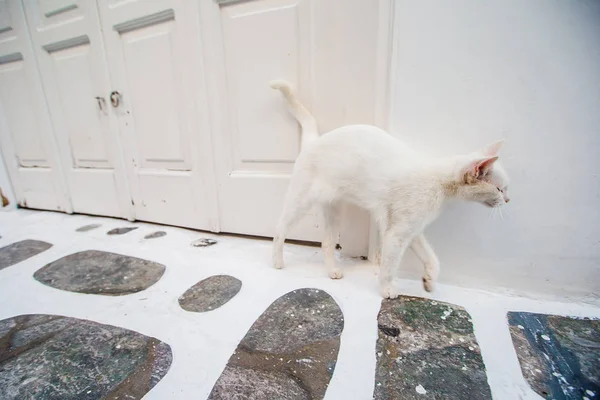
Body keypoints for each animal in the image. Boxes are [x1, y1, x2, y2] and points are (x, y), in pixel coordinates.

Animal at [270, 79, 508, 298]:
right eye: (500, 189)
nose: (507, 201)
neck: (439, 182)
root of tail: (314, 141)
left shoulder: (413, 230)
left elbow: (432, 258)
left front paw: (429, 281)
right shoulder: (396, 233)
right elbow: (389, 265)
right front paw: (387, 289)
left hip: (333, 209)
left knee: (327, 242)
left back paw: (332, 271)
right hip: (300, 201)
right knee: (280, 229)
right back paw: (277, 261)